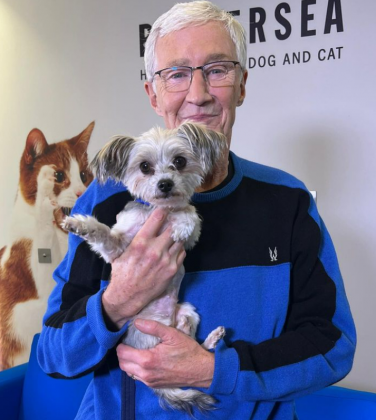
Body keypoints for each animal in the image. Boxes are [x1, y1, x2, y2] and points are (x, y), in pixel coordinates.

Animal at [62, 121, 226, 414]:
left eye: (180, 161)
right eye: (145, 167)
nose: (165, 184)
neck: (157, 212)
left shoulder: (189, 238)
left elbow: (187, 213)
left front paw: (181, 223)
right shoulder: (116, 248)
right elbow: (102, 232)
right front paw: (80, 224)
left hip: (188, 312)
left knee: (194, 344)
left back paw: (211, 338)